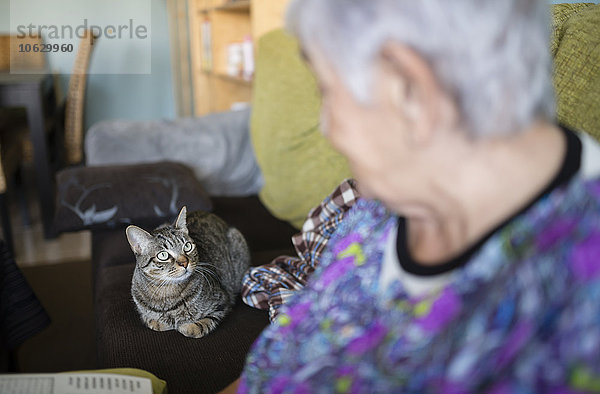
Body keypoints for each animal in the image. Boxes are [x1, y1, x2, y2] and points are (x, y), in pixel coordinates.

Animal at [125, 206, 250, 338]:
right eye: (163, 255)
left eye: (187, 246)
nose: (184, 263)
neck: (167, 292)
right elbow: (150, 319)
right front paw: (159, 321)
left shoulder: (222, 302)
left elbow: (203, 323)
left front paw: (188, 326)